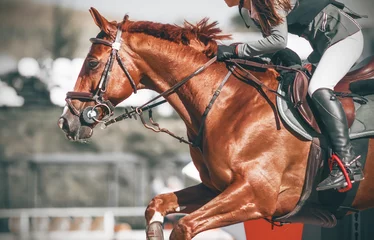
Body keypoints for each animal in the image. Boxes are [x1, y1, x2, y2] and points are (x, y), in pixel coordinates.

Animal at [57, 7, 374, 240]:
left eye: (92, 63)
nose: (67, 121)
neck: (228, 103)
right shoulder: (215, 189)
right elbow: (157, 204)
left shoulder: (255, 194)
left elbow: (183, 227)